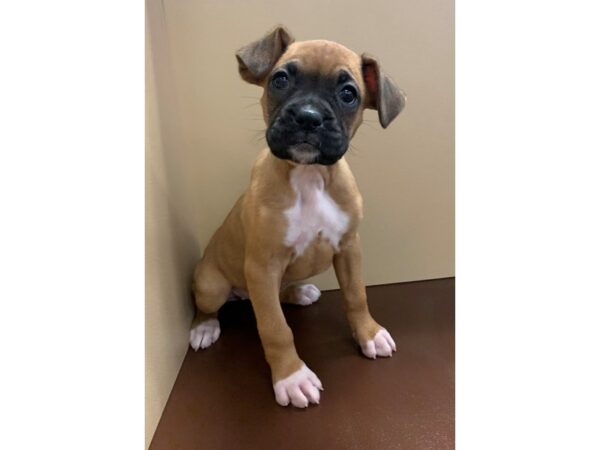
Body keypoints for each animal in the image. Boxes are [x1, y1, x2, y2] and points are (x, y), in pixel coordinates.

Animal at [189, 26, 408, 410]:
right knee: (213, 306)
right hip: (212, 286)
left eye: (348, 94)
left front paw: (369, 333)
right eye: (280, 80)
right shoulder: (262, 267)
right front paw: (292, 377)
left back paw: (299, 292)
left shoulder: (349, 249)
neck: (309, 176)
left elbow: (356, 295)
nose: (308, 116)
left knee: (281, 294)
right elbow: (275, 328)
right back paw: (204, 327)